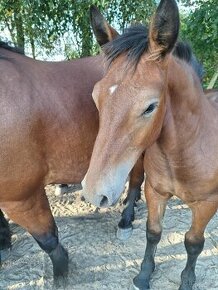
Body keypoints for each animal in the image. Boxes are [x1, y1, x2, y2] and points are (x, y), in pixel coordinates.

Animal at [82, 1, 217, 288]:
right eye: (96, 97)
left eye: (150, 107)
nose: (93, 193)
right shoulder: (155, 192)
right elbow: (153, 232)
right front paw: (144, 274)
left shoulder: (208, 204)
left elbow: (194, 243)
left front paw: (187, 280)